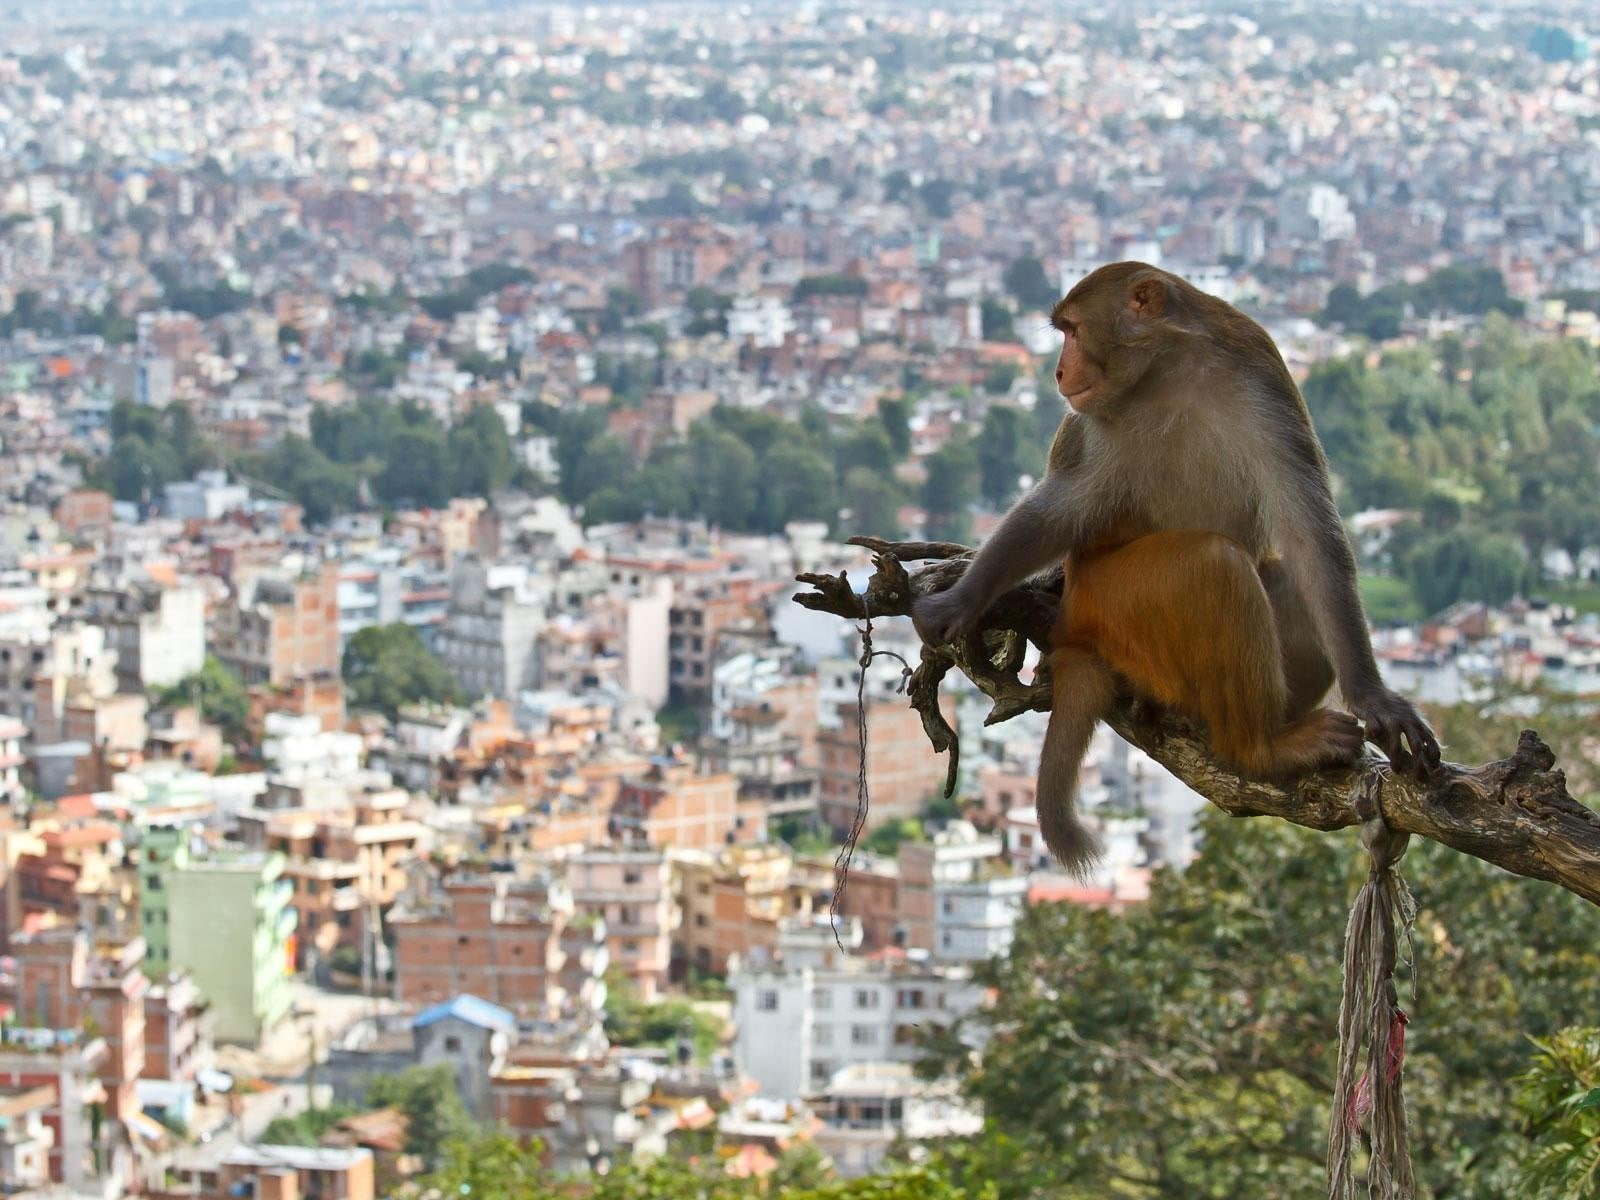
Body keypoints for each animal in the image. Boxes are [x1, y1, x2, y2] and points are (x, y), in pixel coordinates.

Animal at [911, 262, 1440, 876]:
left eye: (1072, 330)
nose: (1059, 370)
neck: (1168, 372)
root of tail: (1074, 627)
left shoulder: (1260, 377)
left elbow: (1309, 536)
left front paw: (1375, 698)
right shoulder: (1095, 422)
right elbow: (1057, 511)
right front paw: (963, 598)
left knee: (1283, 576)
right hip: (1117, 604)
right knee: (1212, 565)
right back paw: (1258, 749)